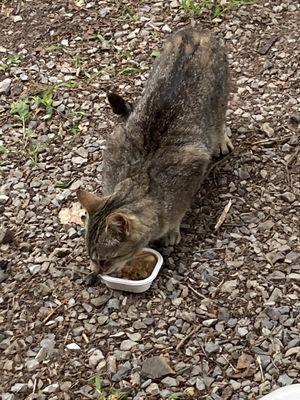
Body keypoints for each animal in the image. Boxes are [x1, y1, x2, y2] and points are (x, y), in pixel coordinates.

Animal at [77, 26, 232, 278]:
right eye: (91, 256)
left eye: (105, 260)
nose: (97, 273)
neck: (140, 181)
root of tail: (195, 29)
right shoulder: (115, 147)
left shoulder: (191, 171)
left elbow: (178, 213)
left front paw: (170, 232)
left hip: (220, 97)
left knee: (219, 119)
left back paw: (221, 139)